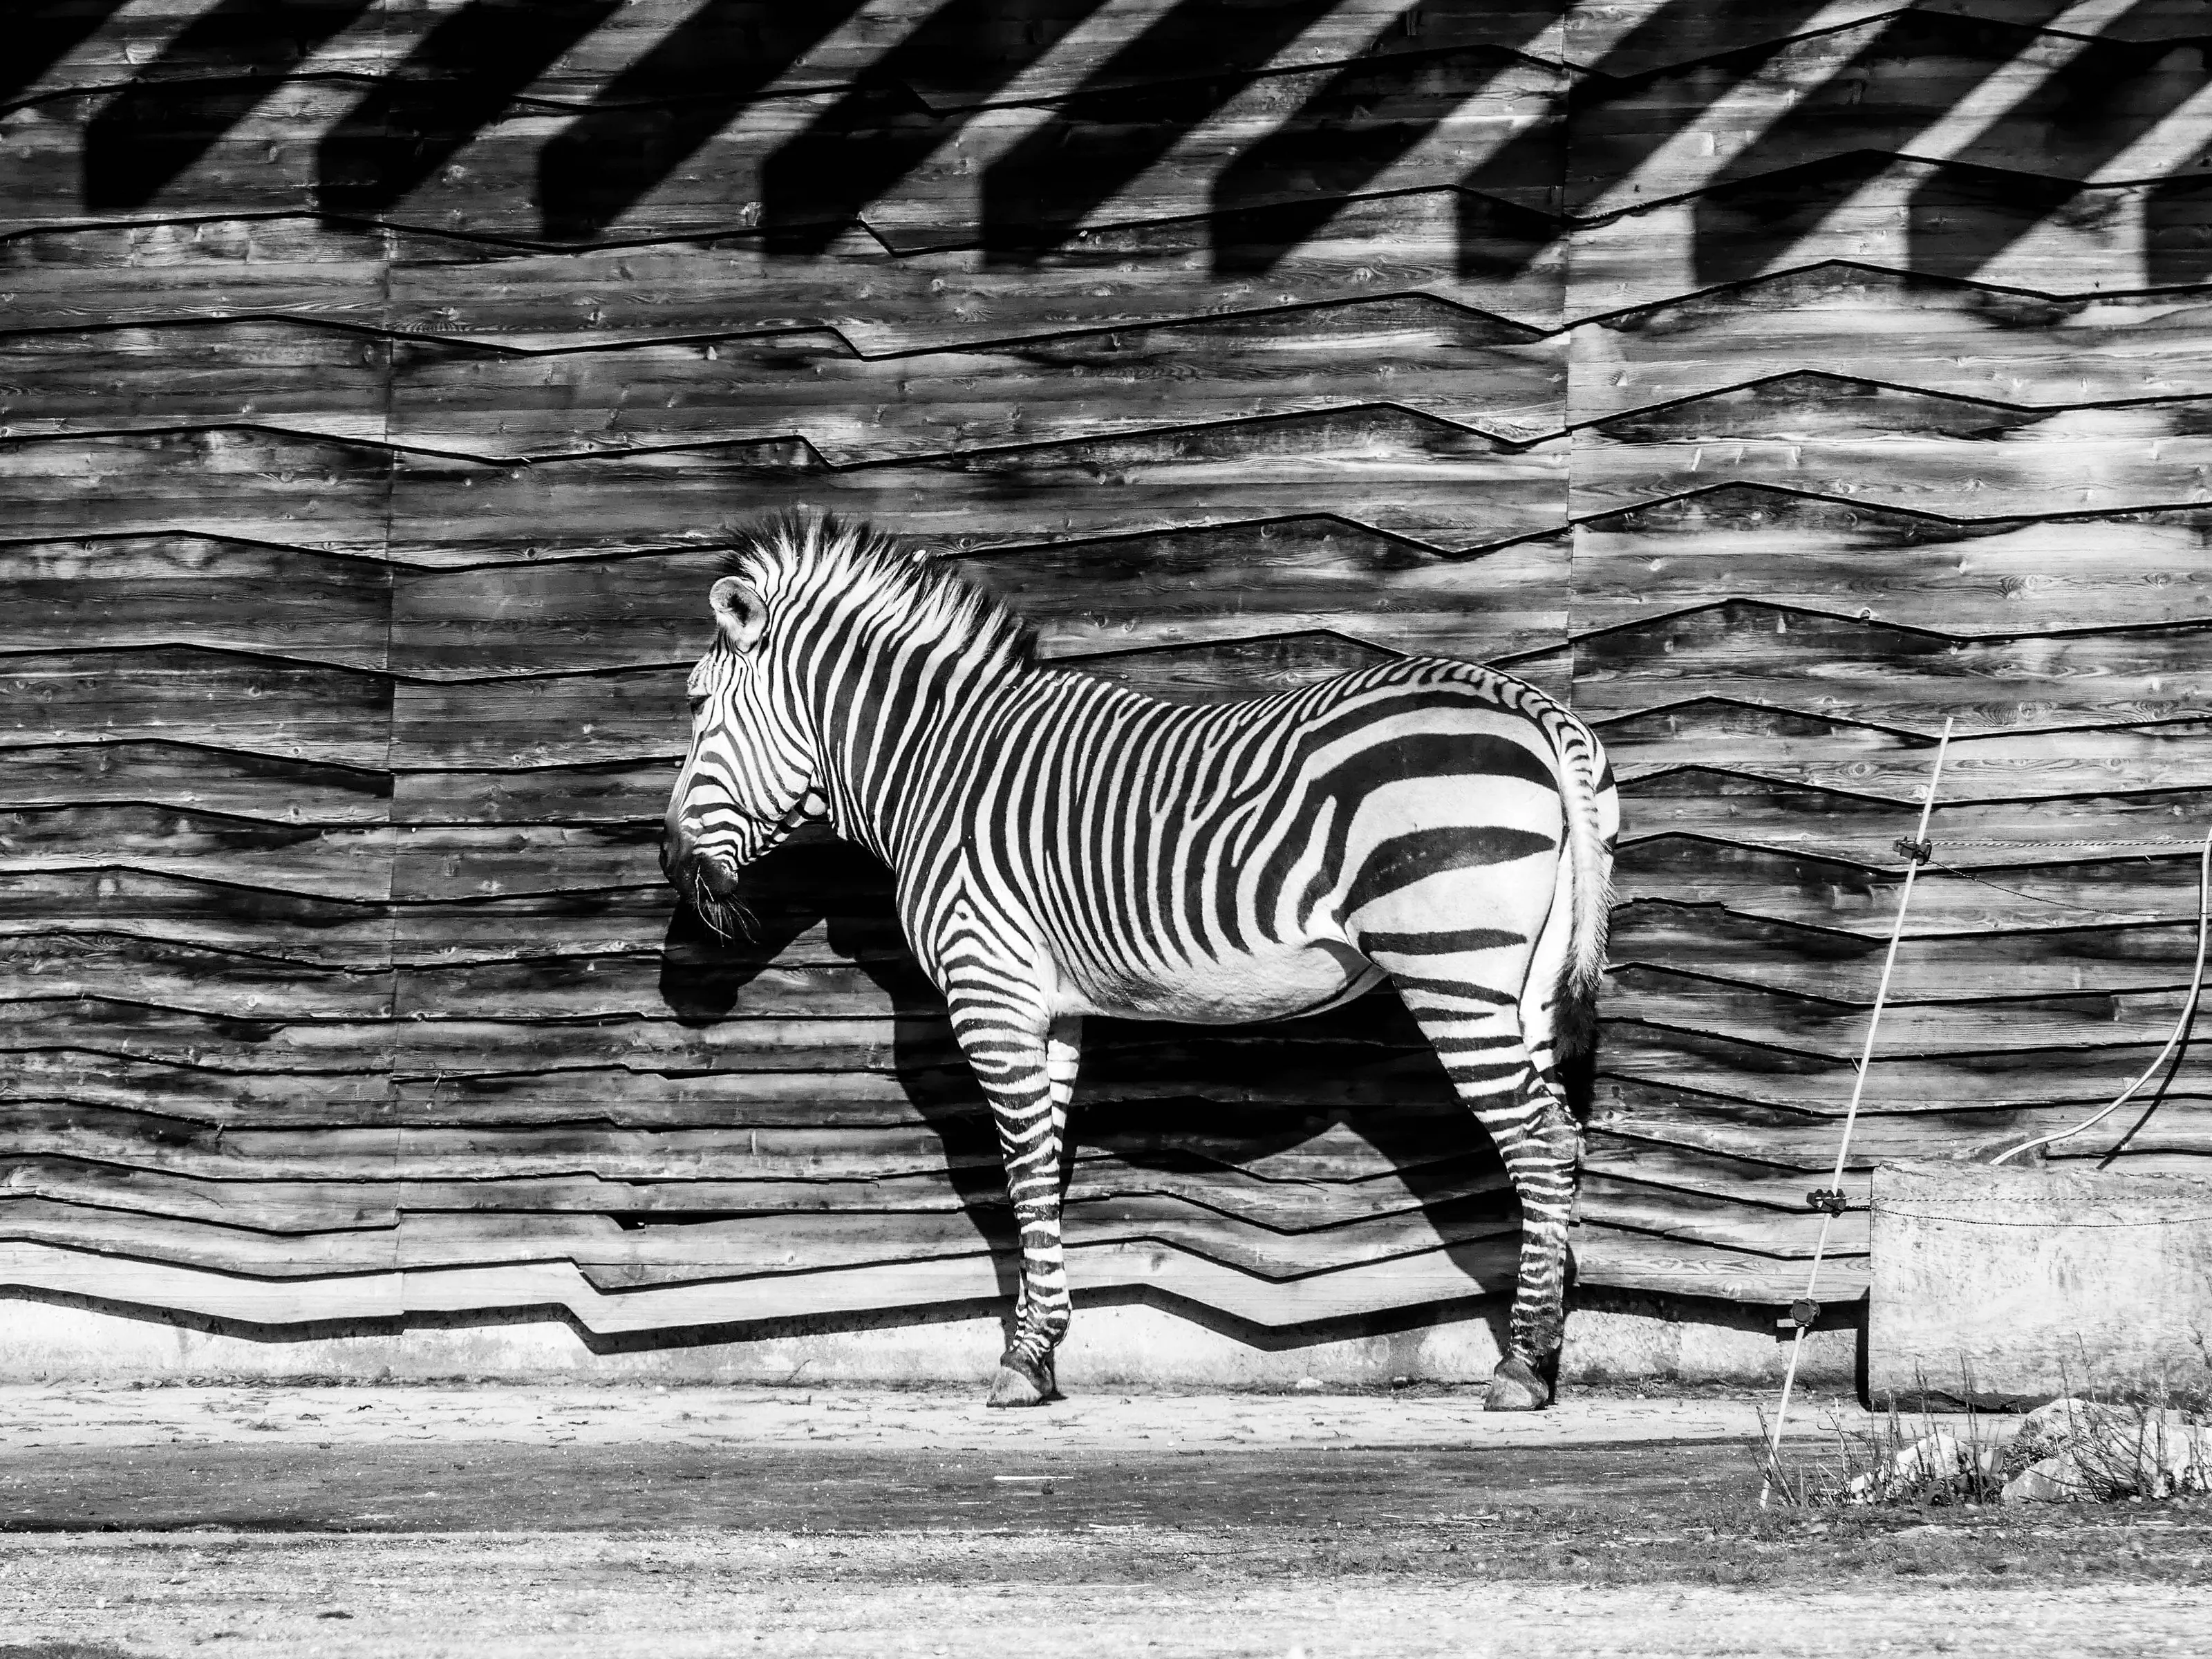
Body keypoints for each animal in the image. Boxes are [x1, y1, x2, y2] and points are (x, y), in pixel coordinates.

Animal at [662, 514, 1618, 1411]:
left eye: (699, 705)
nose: (671, 868)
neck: (935, 766)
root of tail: (1531, 708)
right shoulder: (1050, 1009)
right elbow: (1047, 1165)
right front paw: (1043, 1351)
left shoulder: (988, 989)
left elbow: (1019, 1168)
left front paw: (1020, 1363)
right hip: (1527, 983)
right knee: (1560, 1138)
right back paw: (1543, 1351)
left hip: (1449, 968)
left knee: (1537, 1140)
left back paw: (1521, 1369)